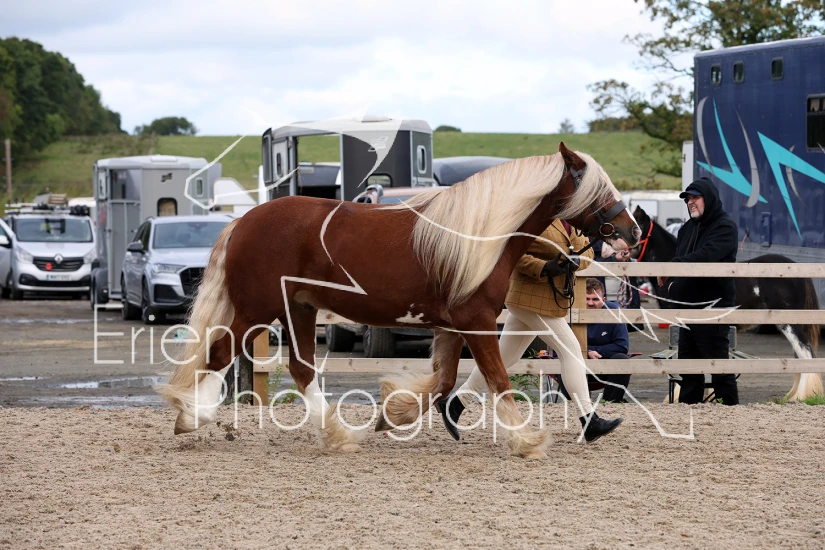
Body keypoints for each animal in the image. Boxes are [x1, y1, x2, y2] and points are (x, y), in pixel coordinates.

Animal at [156, 143, 641, 459]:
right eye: (598, 189)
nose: (632, 232)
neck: (480, 234)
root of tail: (243, 221)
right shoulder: (476, 320)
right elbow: (499, 380)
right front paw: (527, 442)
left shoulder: (452, 325)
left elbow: (445, 382)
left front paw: (395, 413)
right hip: (259, 310)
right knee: (221, 352)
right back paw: (192, 417)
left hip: (299, 310)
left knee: (300, 369)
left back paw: (337, 435)